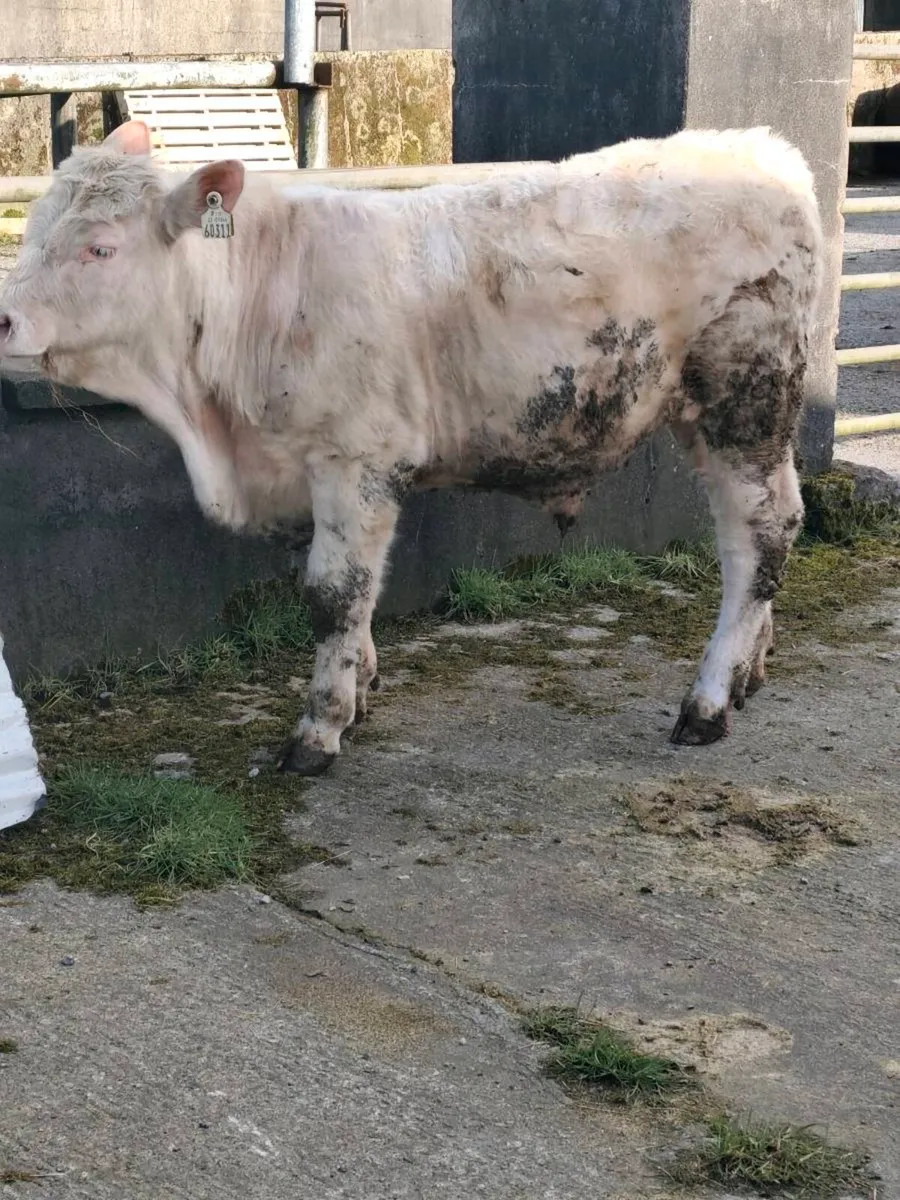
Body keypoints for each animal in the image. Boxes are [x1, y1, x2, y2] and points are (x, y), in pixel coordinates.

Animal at [0, 120, 823, 776]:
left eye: (100, 248)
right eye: (33, 231)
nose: (3, 318)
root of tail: (761, 148)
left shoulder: (354, 458)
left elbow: (334, 592)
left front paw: (320, 727)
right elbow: (347, 590)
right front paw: (361, 688)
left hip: (745, 402)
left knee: (759, 536)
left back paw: (706, 703)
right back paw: (749, 671)